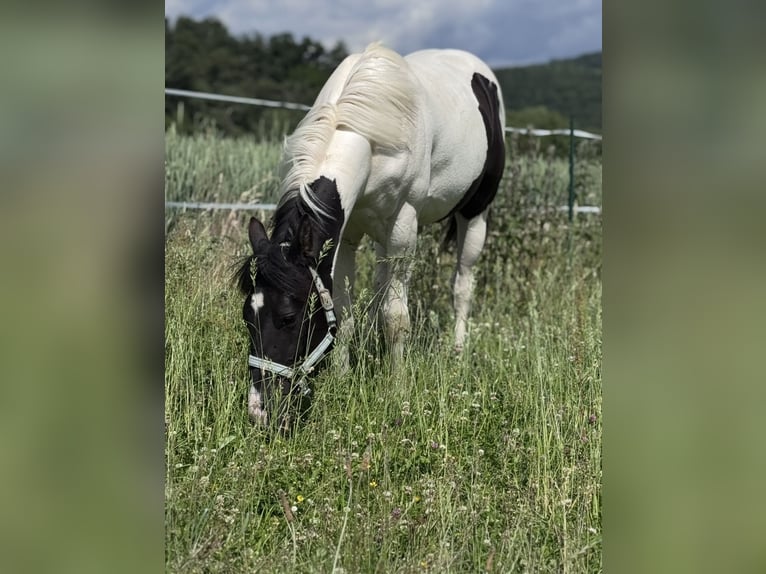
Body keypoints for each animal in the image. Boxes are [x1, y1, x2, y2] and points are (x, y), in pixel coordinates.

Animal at [235, 44, 505, 431]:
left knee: (462, 285)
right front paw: (344, 379)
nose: (260, 411)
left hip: (475, 215)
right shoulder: (347, 234)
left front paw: (397, 387)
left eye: (288, 317)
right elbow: (345, 314)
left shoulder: (404, 227)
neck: (370, 134)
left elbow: (396, 318)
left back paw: (457, 352)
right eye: (247, 316)